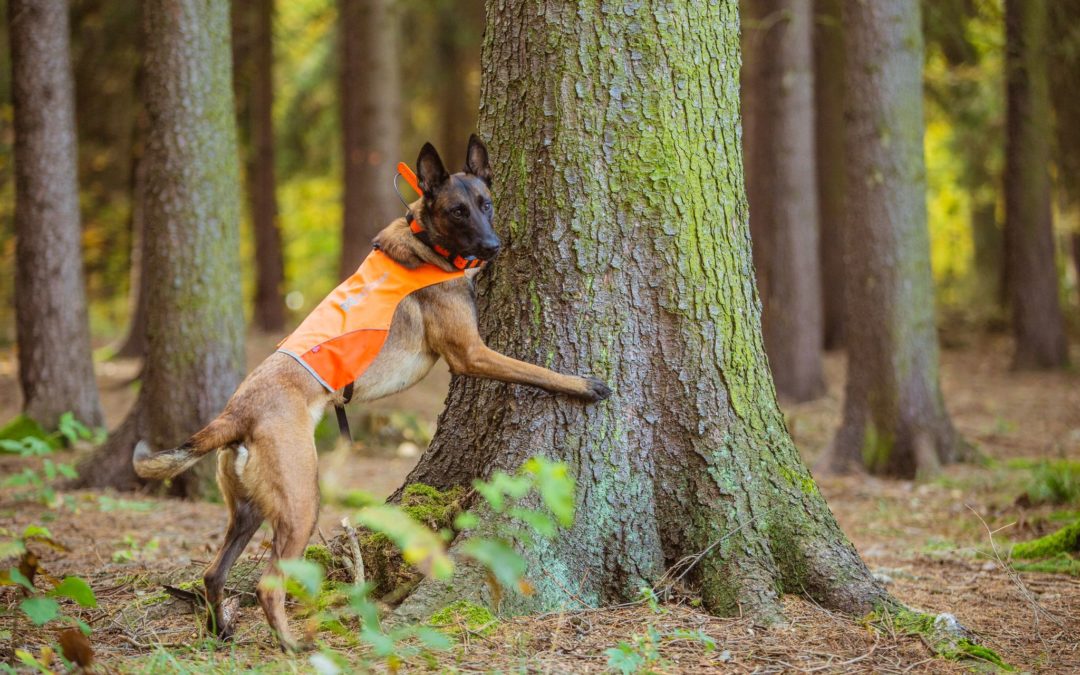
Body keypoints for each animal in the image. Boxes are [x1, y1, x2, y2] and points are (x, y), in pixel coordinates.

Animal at [130, 135, 613, 648]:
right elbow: (534, 370)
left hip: (248, 511)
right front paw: (584, 385)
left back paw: (221, 632)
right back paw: (293, 646)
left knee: (212, 573)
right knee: (267, 586)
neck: (426, 241)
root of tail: (236, 412)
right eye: (457, 211)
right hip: (301, 504)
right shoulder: (472, 354)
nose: (493, 246)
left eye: (486, 204)